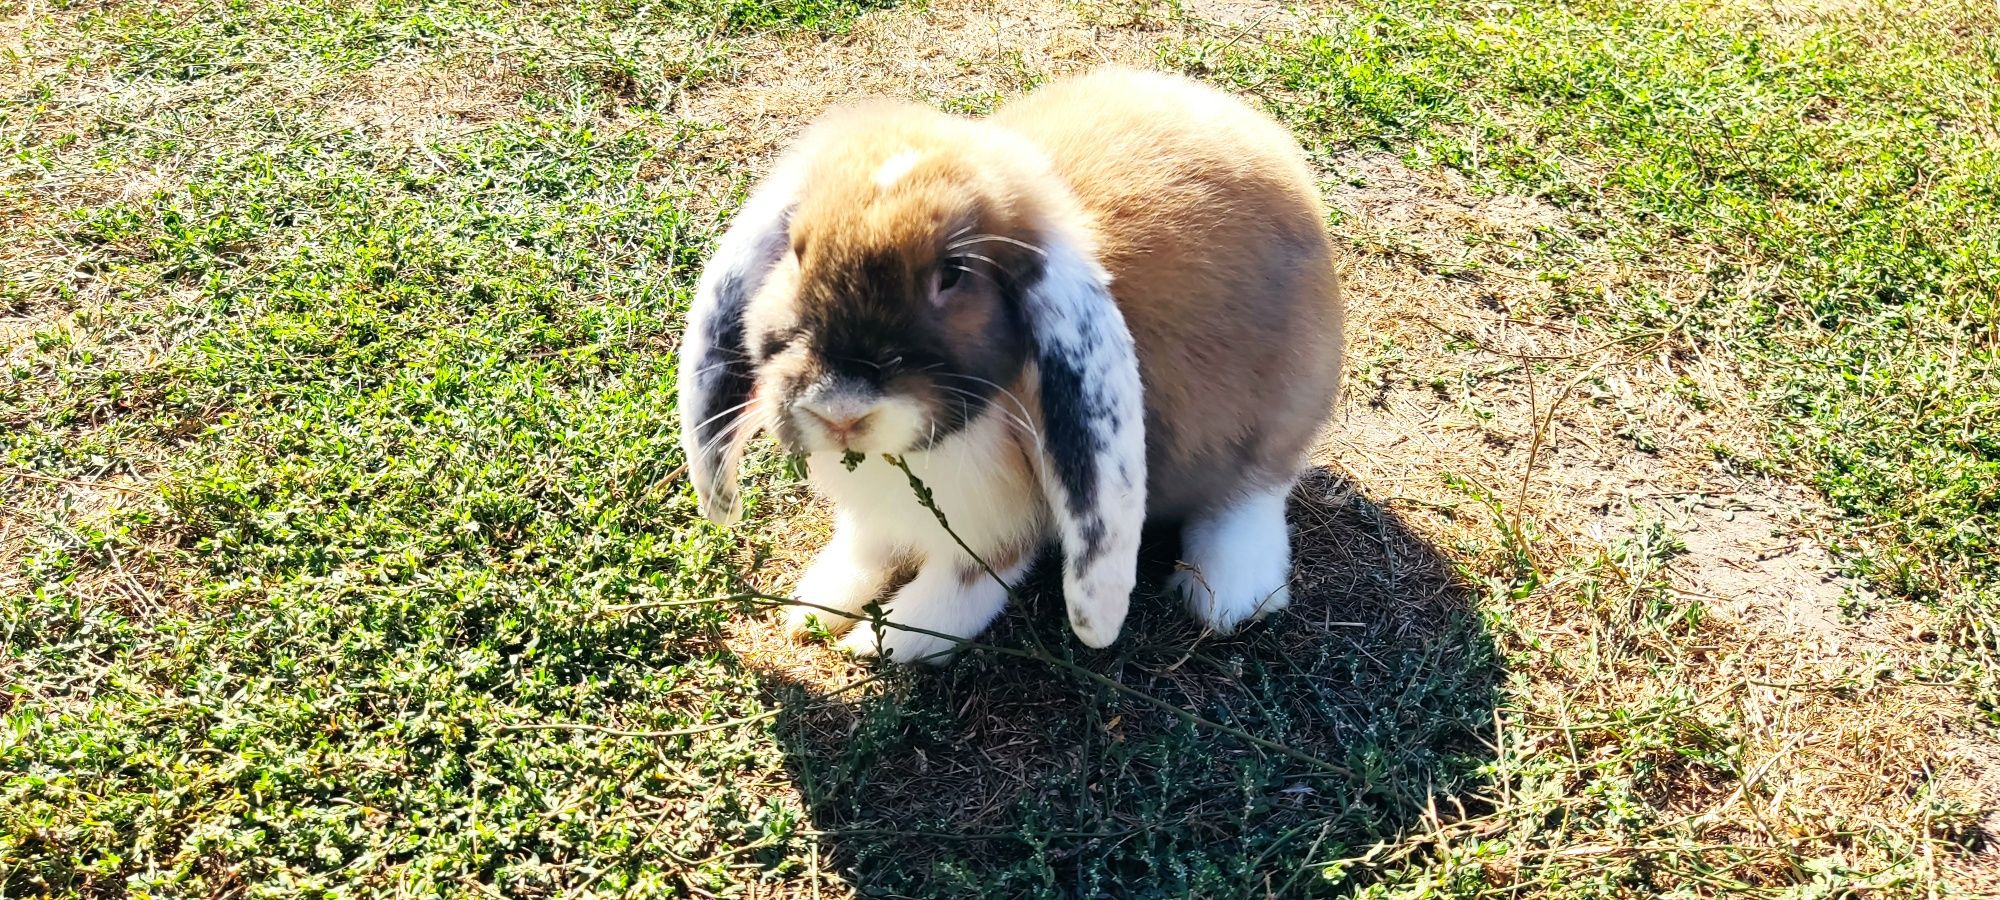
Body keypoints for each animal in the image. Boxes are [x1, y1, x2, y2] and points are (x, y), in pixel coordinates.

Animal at [680, 67, 1352, 664]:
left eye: (952, 275)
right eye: (796, 251)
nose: (841, 411)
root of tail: (1266, 141)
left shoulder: (992, 530)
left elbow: (963, 587)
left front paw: (888, 641)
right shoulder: (875, 520)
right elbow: (864, 551)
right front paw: (814, 607)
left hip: (1283, 411)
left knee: (1252, 493)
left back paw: (1227, 597)